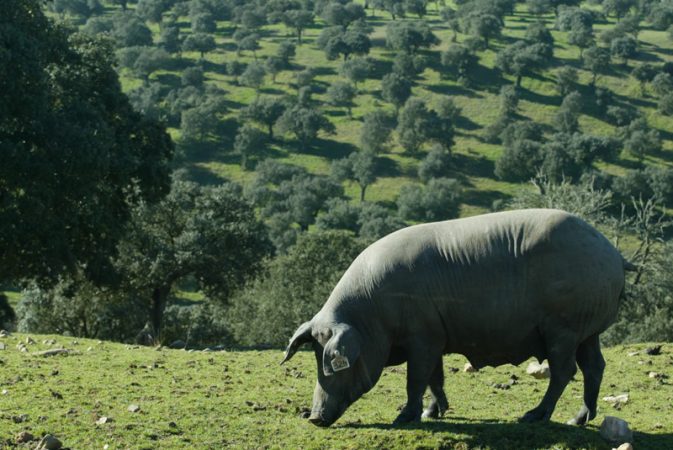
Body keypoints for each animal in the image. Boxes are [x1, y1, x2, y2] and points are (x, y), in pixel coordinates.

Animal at [281, 209, 631, 427]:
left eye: (329, 364)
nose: (313, 417)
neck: (372, 313)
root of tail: (614, 253)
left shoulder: (421, 337)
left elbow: (415, 379)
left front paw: (404, 417)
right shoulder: (435, 335)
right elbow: (435, 378)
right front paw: (432, 413)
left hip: (563, 327)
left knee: (564, 371)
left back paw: (533, 417)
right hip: (587, 331)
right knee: (595, 367)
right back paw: (579, 419)